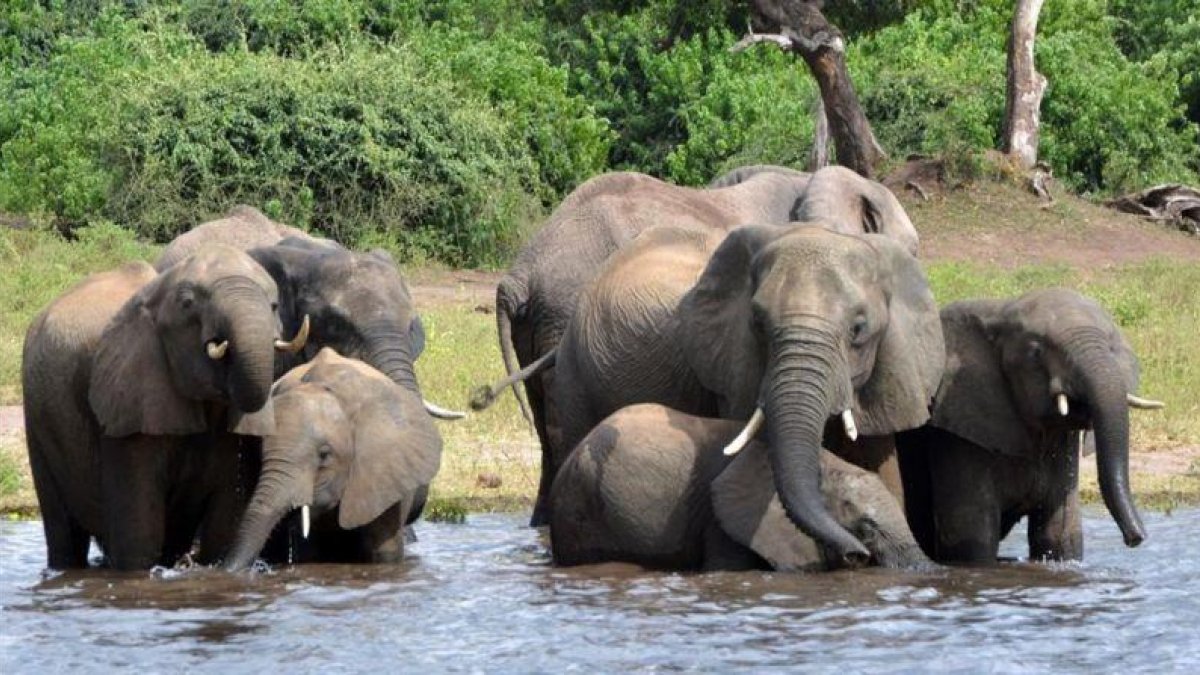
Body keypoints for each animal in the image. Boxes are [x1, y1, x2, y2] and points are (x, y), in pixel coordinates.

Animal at [22, 246, 309, 569]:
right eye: (187, 304)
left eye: (274, 306)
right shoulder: (128, 401)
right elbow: (139, 537)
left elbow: (224, 526)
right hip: (38, 419)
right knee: (64, 533)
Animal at [896, 288, 1162, 563]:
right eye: (1036, 353)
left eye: (1111, 347)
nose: (1135, 539)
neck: (1000, 311)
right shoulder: (955, 431)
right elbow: (972, 542)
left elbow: (1059, 535)